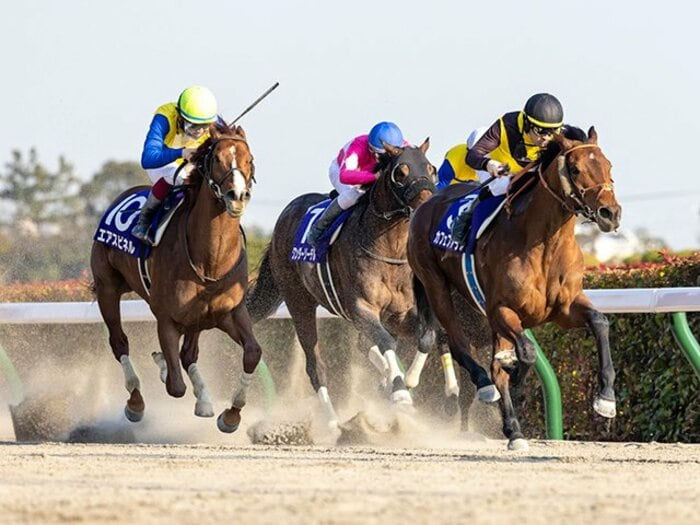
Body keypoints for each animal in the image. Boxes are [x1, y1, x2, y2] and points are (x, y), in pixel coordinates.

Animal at [90, 124, 261, 433]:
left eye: (249, 158)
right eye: (216, 158)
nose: (237, 195)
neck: (211, 260)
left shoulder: (230, 312)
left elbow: (253, 352)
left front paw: (231, 415)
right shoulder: (167, 318)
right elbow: (175, 385)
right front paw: (162, 368)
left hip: (198, 318)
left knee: (188, 353)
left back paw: (203, 399)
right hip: (108, 289)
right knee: (119, 342)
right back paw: (136, 401)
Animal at [246, 140, 440, 429]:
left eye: (431, 168)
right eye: (401, 172)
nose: (427, 205)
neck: (390, 252)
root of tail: (285, 216)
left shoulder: (401, 314)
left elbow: (427, 336)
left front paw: (407, 380)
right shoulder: (361, 308)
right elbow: (385, 341)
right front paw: (401, 393)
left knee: (364, 345)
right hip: (298, 302)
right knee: (316, 366)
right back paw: (331, 422)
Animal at [407, 127, 621, 450]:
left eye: (609, 166)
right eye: (575, 168)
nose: (611, 213)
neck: (545, 243)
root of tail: (424, 206)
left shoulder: (565, 308)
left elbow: (600, 322)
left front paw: (606, 398)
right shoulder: (501, 310)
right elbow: (527, 354)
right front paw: (516, 384)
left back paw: (513, 427)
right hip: (436, 286)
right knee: (459, 345)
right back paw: (489, 391)